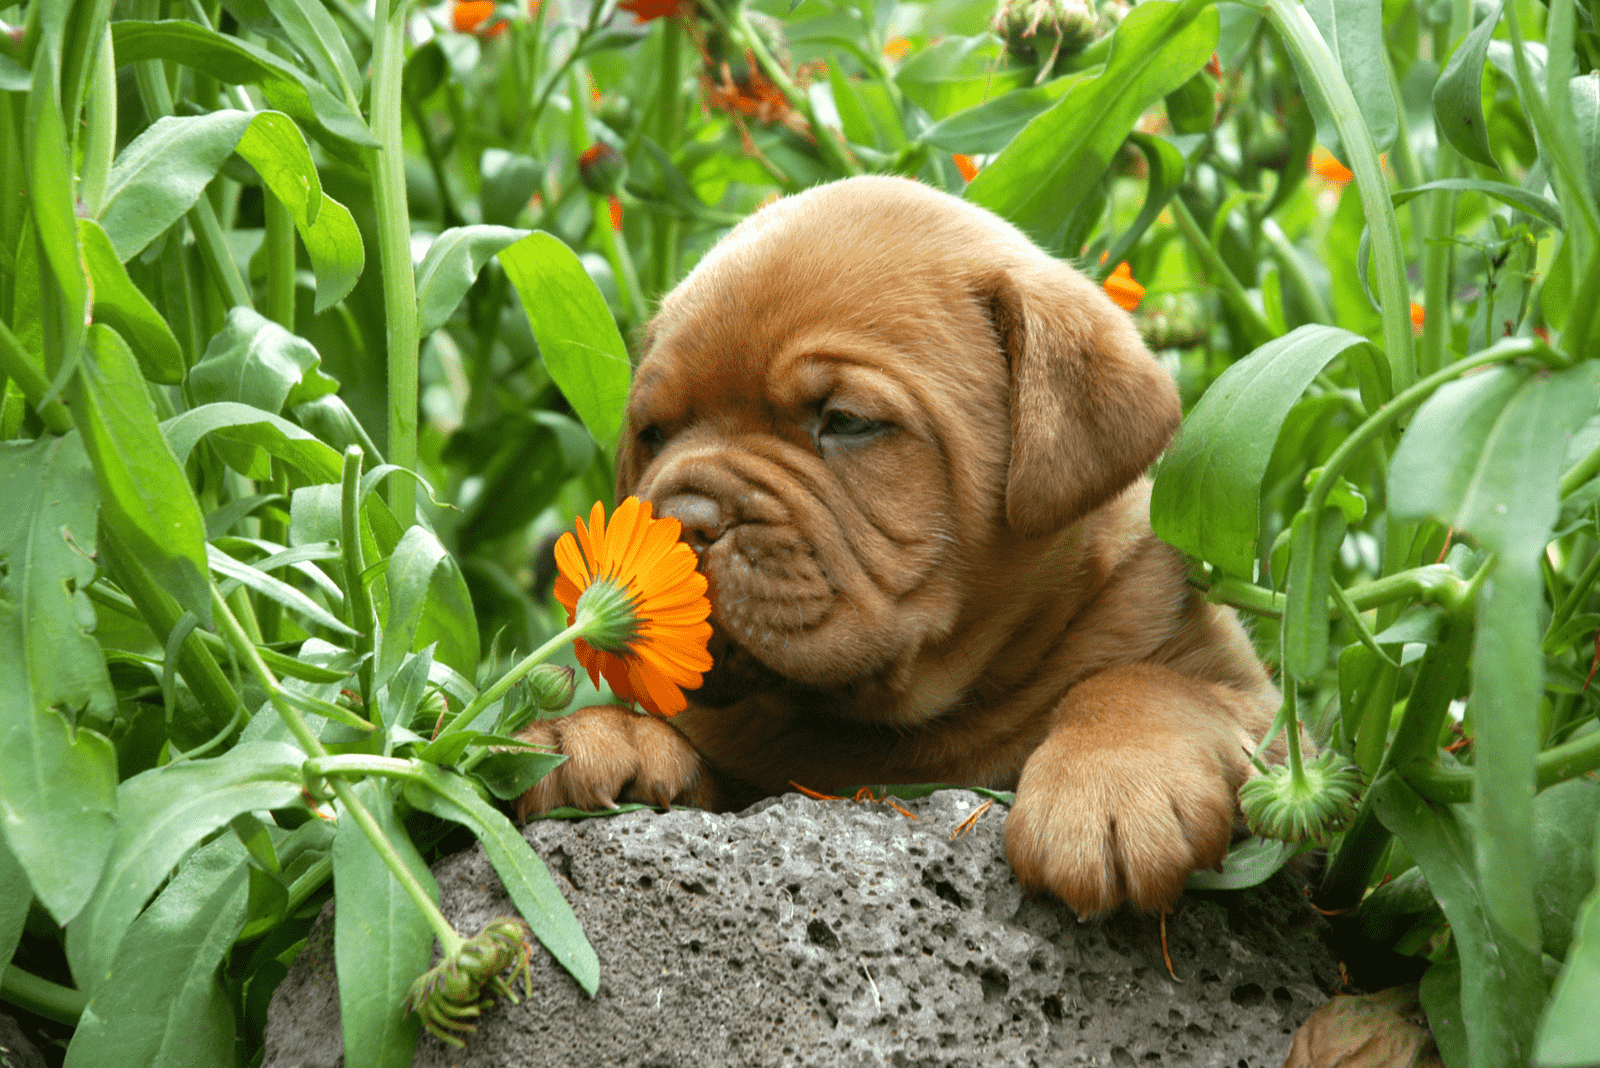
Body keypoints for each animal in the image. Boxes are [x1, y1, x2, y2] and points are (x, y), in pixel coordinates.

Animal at [518, 177, 1280, 920]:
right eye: (653, 433)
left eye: (847, 422)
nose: (683, 519)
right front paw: (597, 735)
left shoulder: (1262, 708)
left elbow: (1147, 683)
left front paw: (1111, 780)